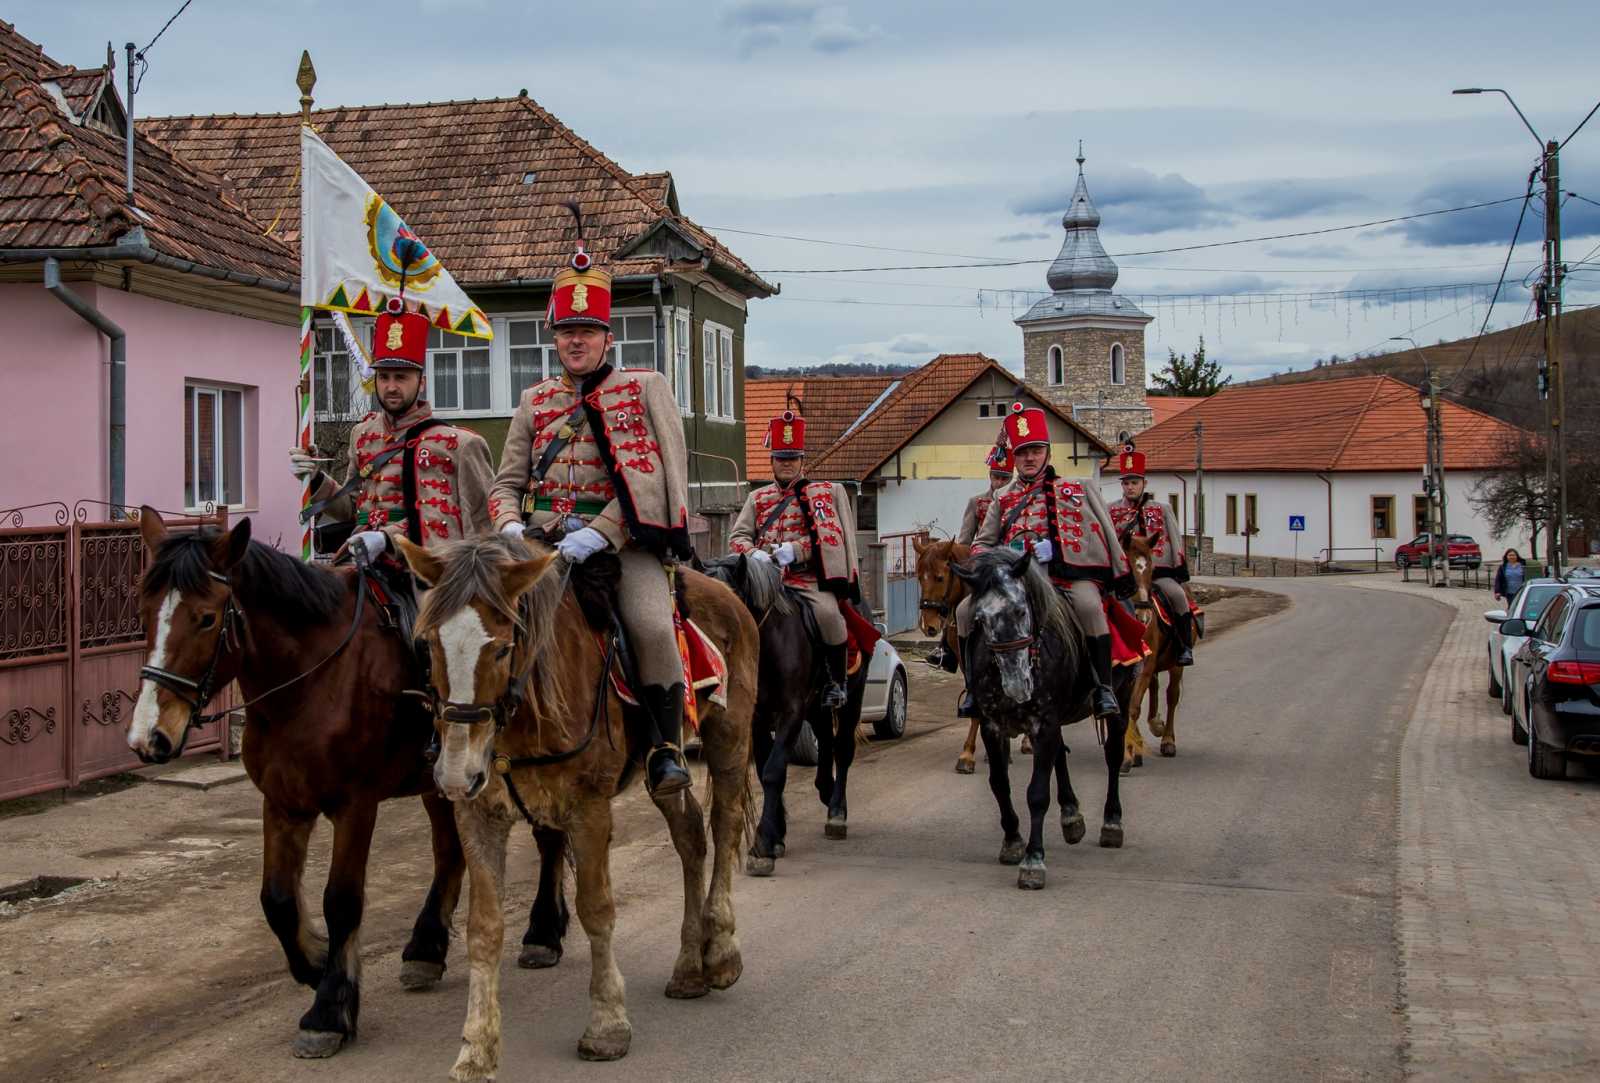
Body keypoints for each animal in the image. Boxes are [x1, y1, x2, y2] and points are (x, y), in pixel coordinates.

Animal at [124, 508, 467, 1055]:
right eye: (143, 612)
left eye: (206, 618)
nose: (147, 737)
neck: (312, 679)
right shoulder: (283, 801)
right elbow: (278, 899)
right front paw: (317, 963)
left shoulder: (356, 805)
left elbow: (341, 900)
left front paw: (329, 1008)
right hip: (438, 780)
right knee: (450, 850)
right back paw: (426, 947)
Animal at [396, 531, 752, 1075]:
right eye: (429, 643)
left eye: (503, 648)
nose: (455, 772)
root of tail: (727, 594)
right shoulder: (479, 813)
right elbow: (484, 929)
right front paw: (476, 1049)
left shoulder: (588, 810)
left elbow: (596, 909)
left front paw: (607, 1025)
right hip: (663, 772)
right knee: (691, 834)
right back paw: (689, 967)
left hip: (729, 738)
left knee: (725, 825)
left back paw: (722, 952)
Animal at [707, 553, 870, 876]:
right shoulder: (757, 717)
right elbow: (764, 770)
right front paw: (776, 834)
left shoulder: (790, 713)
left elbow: (774, 771)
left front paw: (763, 844)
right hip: (816, 708)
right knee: (826, 742)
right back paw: (825, 788)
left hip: (851, 698)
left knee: (843, 748)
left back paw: (837, 811)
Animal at [953, 550, 1132, 889]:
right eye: (979, 619)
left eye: (1021, 610)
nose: (1016, 684)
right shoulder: (992, 725)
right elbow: (1000, 783)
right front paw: (1012, 841)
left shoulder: (1045, 722)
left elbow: (1037, 793)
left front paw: (1033, 860)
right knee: (1060, 754)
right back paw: (1071, 815)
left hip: (1123, 696)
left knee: (1113, 755)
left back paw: (1112, 822)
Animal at [1120, 531, 1196, 764]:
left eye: (1152, 569)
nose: (1144, 616)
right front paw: (1132, 749)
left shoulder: (1145, 665)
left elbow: (1133, 707)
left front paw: (1127, 754)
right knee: (1154, 688)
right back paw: (1152, 726)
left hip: (1176, 664)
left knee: (1171, 696)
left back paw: (1167, 739)